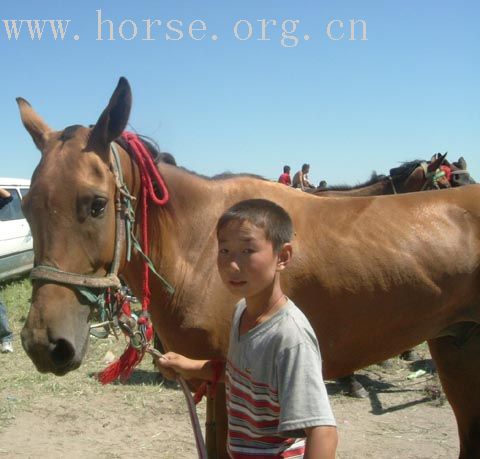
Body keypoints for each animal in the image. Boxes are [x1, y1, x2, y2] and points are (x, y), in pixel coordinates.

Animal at [17, 77, 480, 458]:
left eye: (96, 204)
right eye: (25, 206)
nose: (45, 343)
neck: (201, 244)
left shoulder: (225, 384)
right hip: (456, 349)